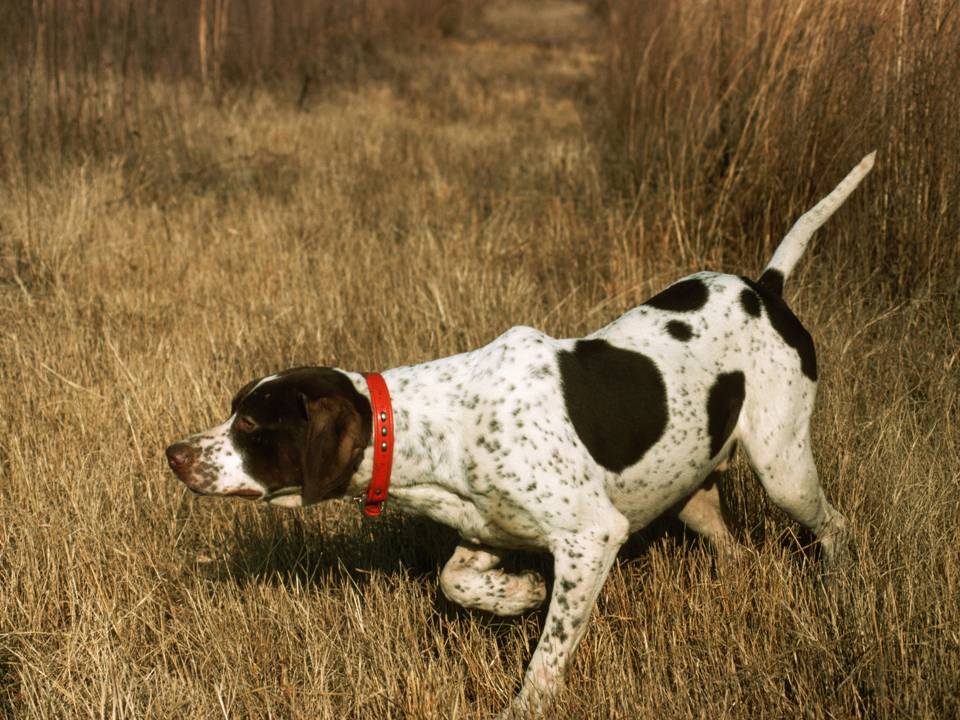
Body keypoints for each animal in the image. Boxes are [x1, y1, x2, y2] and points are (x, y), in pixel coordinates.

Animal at [167, 152, 876, 716]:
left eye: (251, 424)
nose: (174, 454)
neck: (436, 425)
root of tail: (767, 287)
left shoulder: (593, 538)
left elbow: (549, 653)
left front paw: (528, 696)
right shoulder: (485, 531)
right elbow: (454, 582)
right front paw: (519, 594)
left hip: (782, 468)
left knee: (836, 525)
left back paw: (840, 587)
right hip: (694, 490)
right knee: (737, 551)